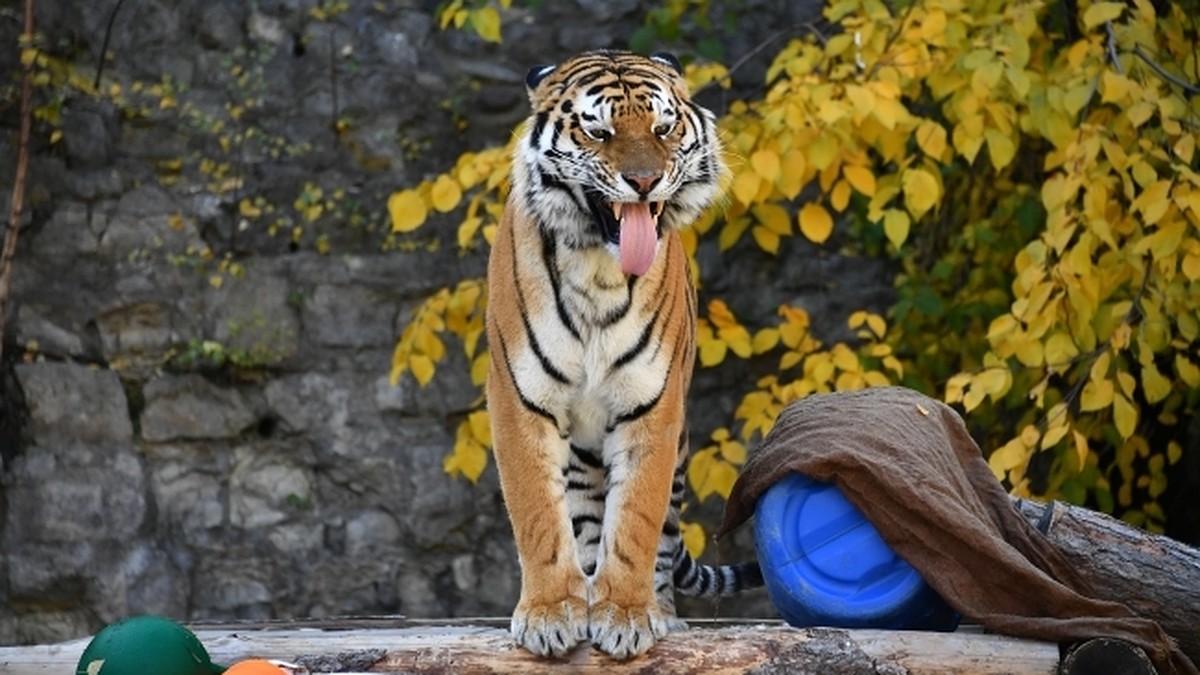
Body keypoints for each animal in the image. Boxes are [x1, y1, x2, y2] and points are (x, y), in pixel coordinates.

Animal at [484, 49, 758, 658]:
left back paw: (658, 612)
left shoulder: (652, 406)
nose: (644, 180)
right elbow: (538, 515)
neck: (598, 269)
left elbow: (635, 520)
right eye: (599, 131)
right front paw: (550, 614)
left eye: (663, 128)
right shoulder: (521, 401)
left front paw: (629, 616)